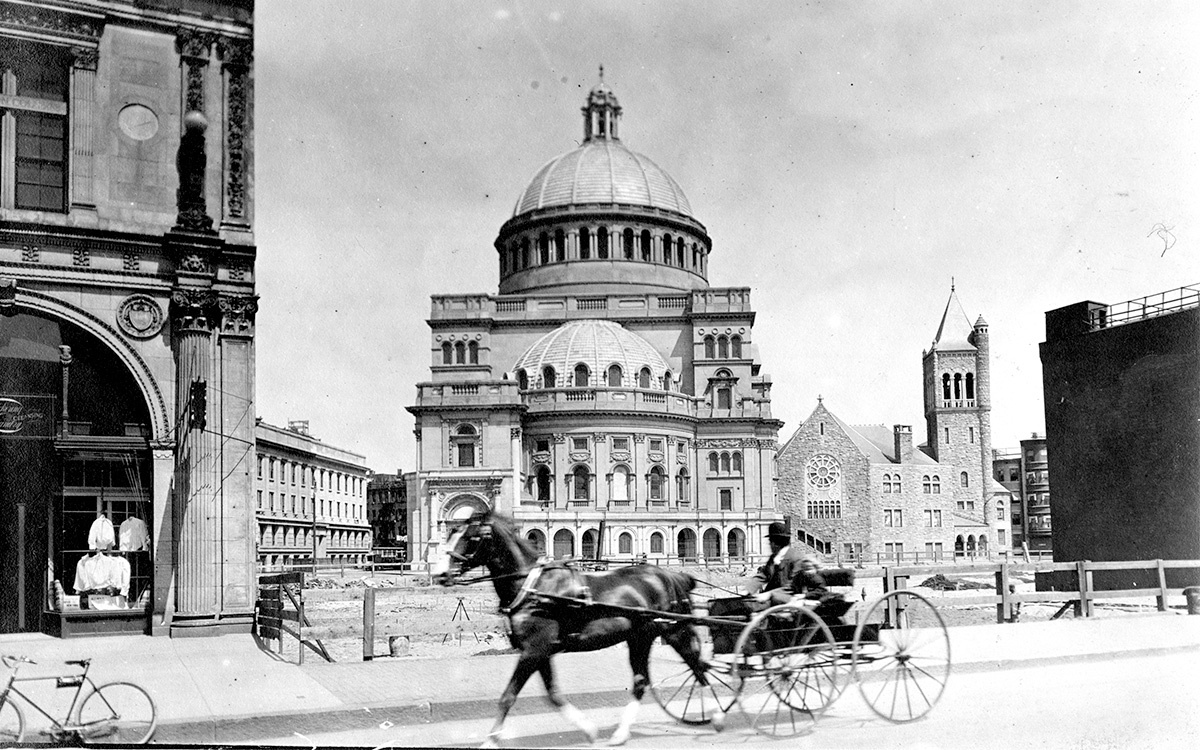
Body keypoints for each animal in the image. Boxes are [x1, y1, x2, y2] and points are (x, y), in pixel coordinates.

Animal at [436, 506, 724, 744]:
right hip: (639, 637)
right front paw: (588, 729)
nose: (440, 574)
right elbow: (553, 694)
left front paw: (490, 741)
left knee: (697, 665)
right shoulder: (540, 651)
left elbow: (508, 696)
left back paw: (717, 715)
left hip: (674, 630)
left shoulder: (534, 649)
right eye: (450, 532)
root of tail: (670, 575)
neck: (535, 588)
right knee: (642, 680)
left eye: (471, 537)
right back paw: (620, 734)